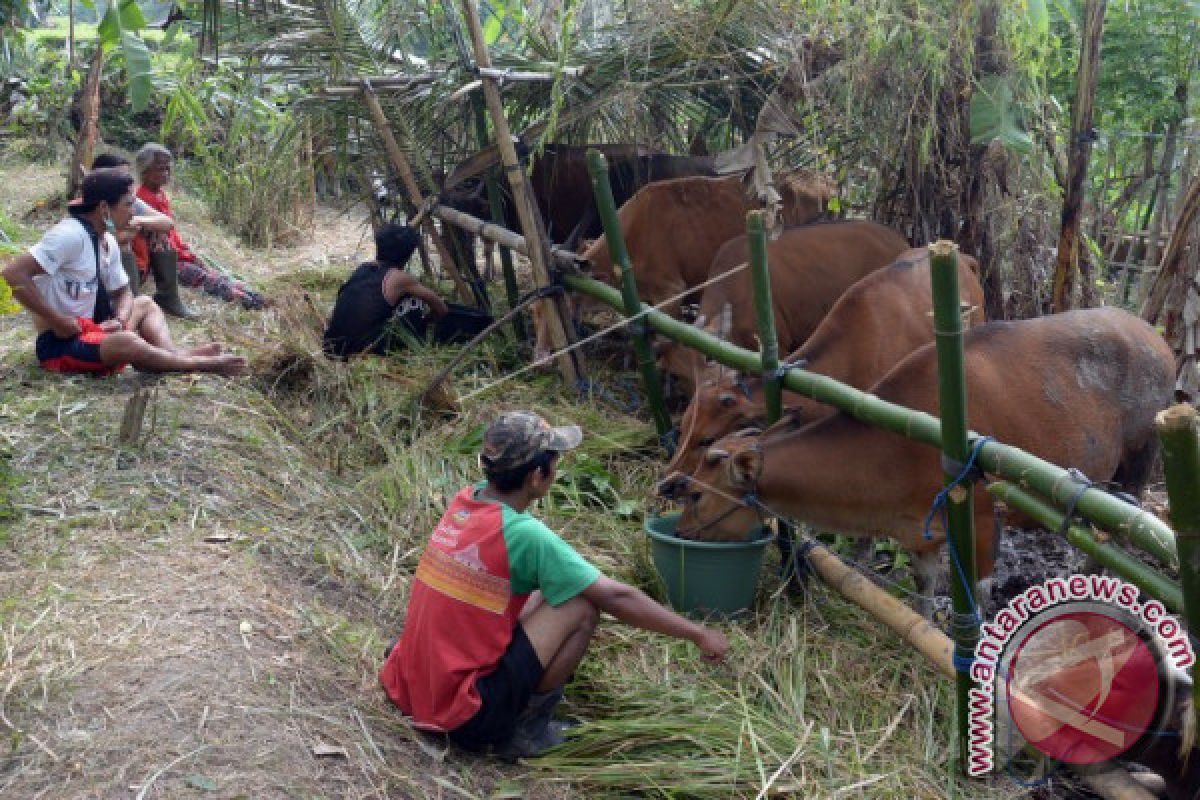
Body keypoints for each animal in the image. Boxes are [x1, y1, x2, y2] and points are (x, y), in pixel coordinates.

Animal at [672, 309, 1176, 618]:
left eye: (696, 493)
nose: (680, 531)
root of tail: (1161, 343)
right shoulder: (918, 531)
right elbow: (923, 591)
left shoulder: (982, 519)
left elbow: (979, 597)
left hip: (1139, 462)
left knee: (1119, 536)